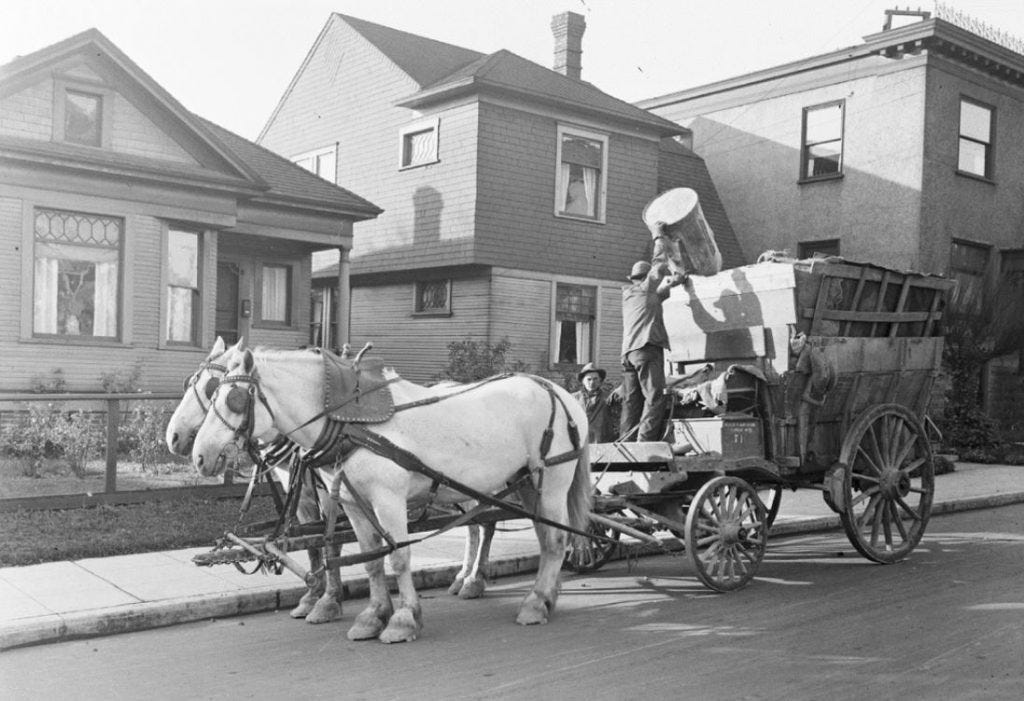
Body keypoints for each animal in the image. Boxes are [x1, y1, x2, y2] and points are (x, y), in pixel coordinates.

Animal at [163, 339, 344, 622]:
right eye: (190, 382)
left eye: (210, 388)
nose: (173, 437)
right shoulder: (299, 489)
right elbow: (312, 542)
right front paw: (311, 597)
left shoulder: (330, 490)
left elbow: (332, 542)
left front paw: (329, 601)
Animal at [191, 347, 593, 642]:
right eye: (214, 393)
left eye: (232, 399)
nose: (197, 455)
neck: (351, 422)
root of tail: (560, 393)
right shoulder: (353, 504)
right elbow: (370, 560)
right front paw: (373, 616)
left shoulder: (389, 500)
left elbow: (398, 557)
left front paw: (403, 618)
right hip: (525, 482)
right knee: (540, 535)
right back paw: (543, 594)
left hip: (552, 478)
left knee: (555, 541)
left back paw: (534, 603)